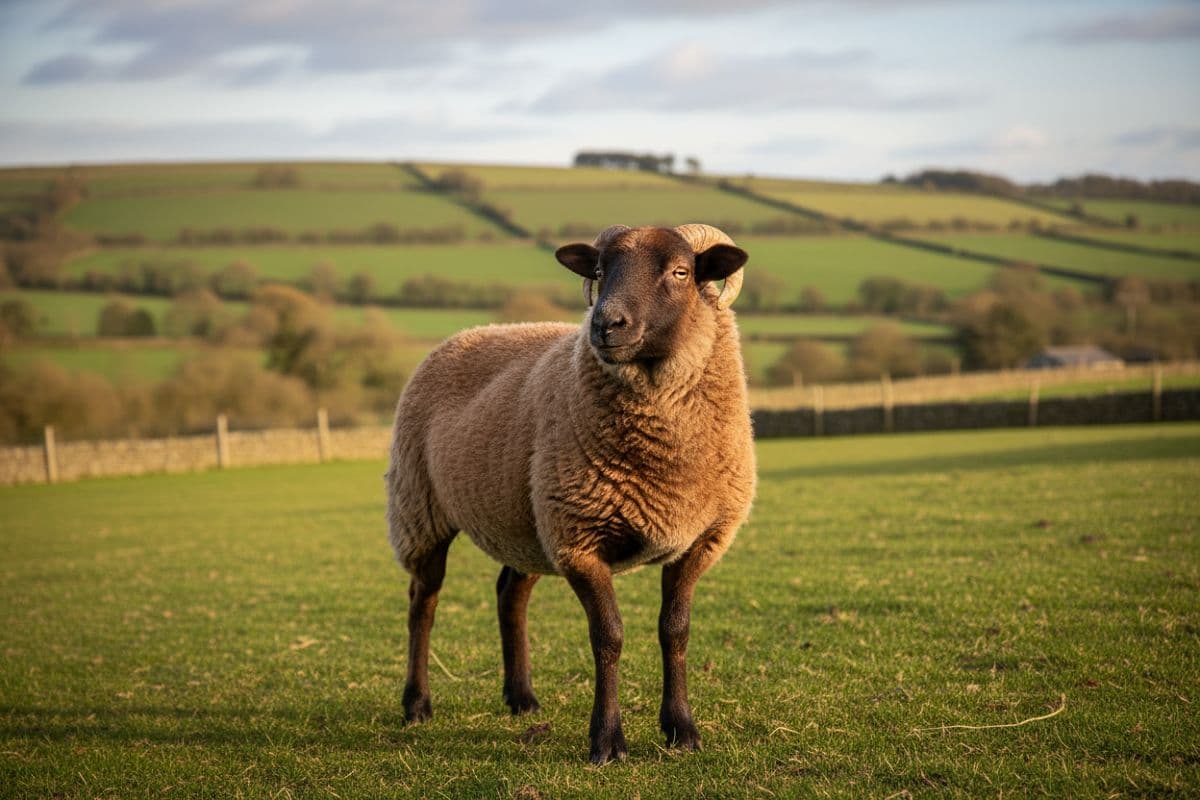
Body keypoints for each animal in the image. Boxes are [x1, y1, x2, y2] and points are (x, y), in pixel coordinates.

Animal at [385, 223, 756, 764]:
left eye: (681, 272)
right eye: (599, 271)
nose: (605, 324)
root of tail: (467, 332)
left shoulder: (700, 539)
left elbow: (675, 631)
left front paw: (682, 730)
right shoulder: (577, 540)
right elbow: (609, 636)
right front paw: (607, 742)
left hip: (523, 521)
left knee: (510, 594)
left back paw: (522, 699)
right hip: (420, 509)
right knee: (423, 602)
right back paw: (417, 704)